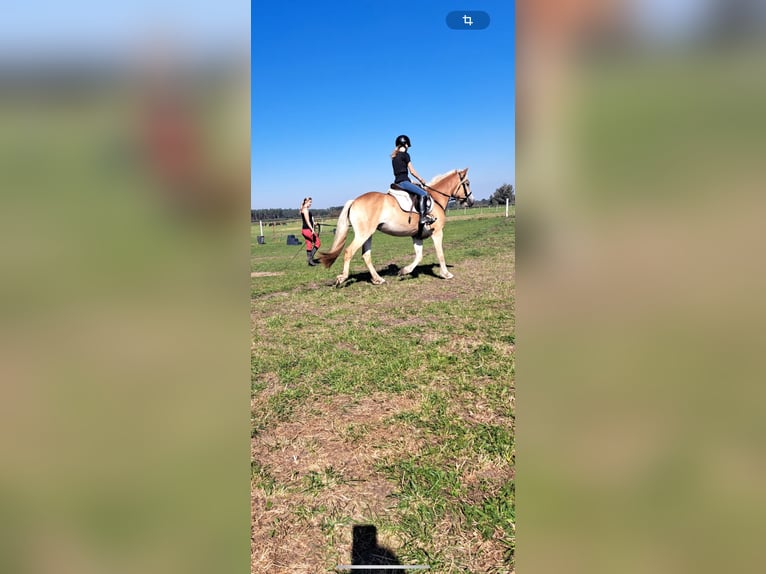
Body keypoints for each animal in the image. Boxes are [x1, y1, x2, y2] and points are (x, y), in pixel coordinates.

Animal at [316, 170, 474, 288]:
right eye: (467, 183)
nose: (471, 202)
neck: (436, 198)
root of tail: (355, 201)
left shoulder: (416, 236)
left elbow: (419, 256)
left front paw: (404, 271)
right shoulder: (437, 232)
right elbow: (440, 254)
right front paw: (446, 274)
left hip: (368, 235)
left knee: (366, 255)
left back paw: (378, 279)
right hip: (363, 234)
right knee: (349, 252)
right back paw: (342, 278)